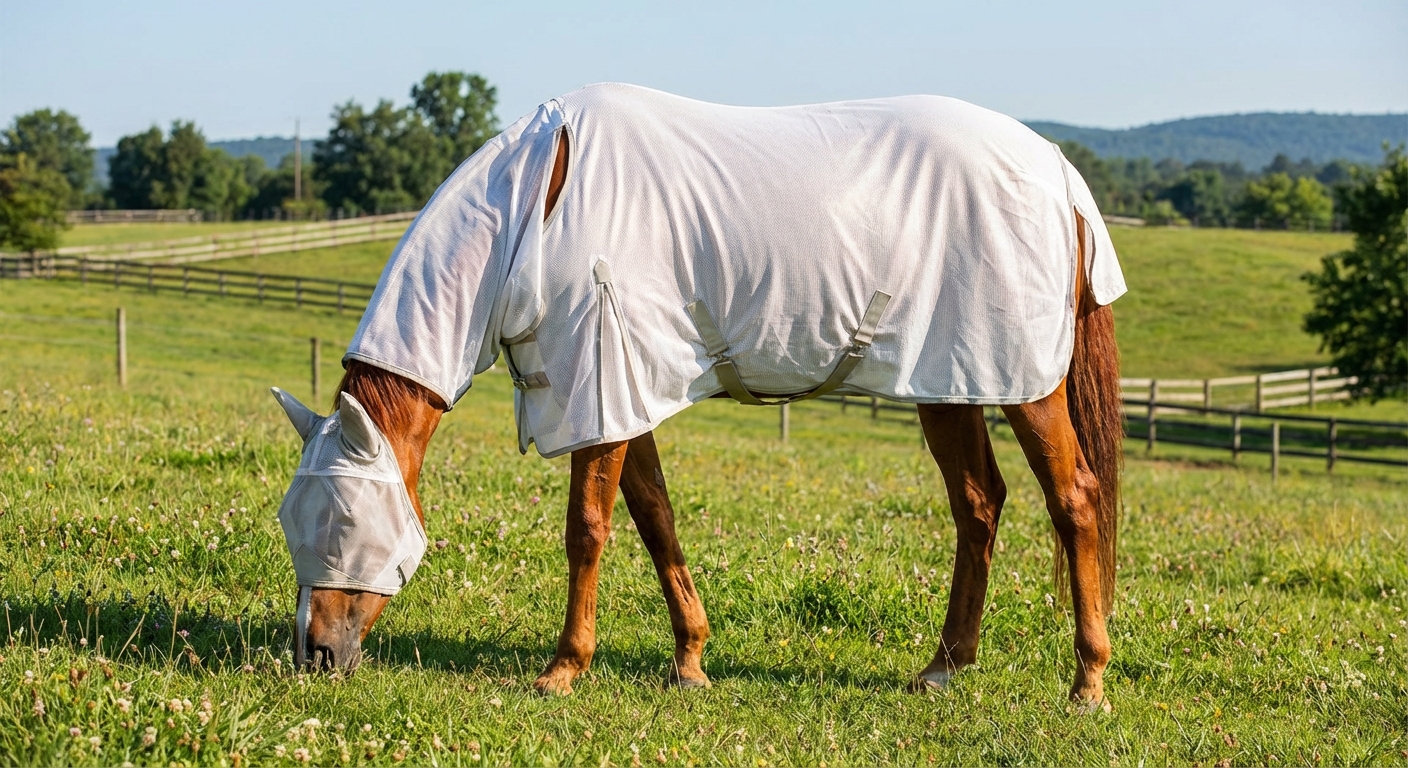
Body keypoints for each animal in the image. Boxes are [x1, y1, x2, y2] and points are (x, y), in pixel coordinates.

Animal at [270, 83, 1125, 710]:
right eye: (291, 518)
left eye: (343, 518)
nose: (315, 654)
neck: (533, 210)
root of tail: (1061, 176)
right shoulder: (624, 398)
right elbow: (656, 521)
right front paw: (689, 660)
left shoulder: (599, 391)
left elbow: (588, 530)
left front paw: (562, 669)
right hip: (947, 384)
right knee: (979, 505)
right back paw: (945, 666)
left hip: (1026, 388)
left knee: (1075, 500)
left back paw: (1087, 681)